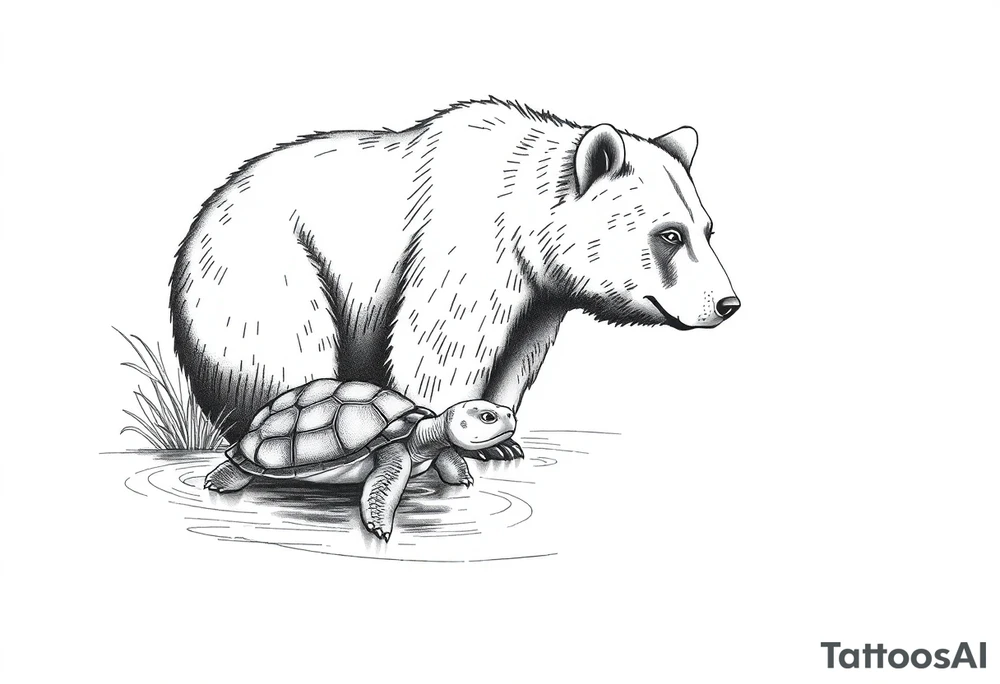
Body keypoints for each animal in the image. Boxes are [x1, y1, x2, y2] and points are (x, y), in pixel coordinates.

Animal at [169, 97, 740, 452]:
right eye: (670, 234)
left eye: (708, 229)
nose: (727, 303)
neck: (524, 220)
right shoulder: (469, 247)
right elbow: (443, 342)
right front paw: (451, 432)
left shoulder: (541, 292)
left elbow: (518, 352)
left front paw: (501, 435)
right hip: (265, 271)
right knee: (285, 351)